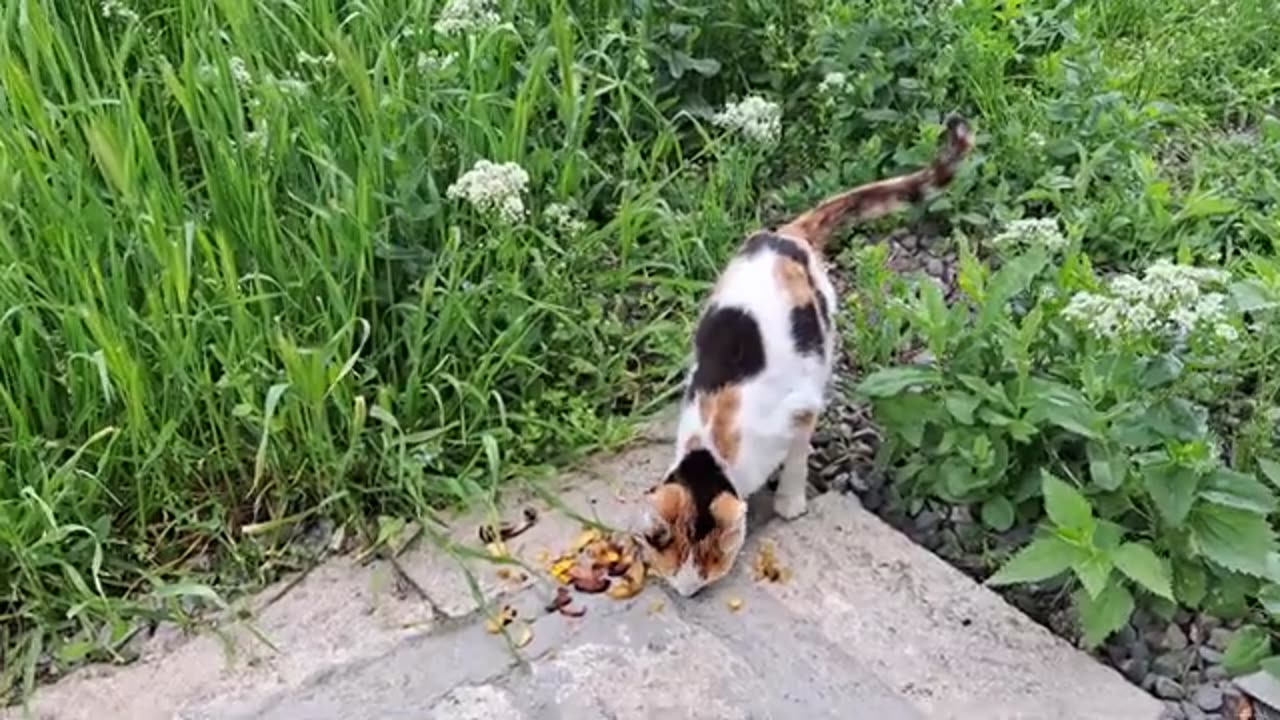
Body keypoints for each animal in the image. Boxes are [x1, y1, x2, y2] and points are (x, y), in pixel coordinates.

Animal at [634, 114, 972, 594]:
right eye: (670, 557)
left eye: (709, 561)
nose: (687, 590)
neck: (713, 446)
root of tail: (787, 235)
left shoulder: (799, 408)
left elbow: (797, 456)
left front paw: (789, 502)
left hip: (822, 329)